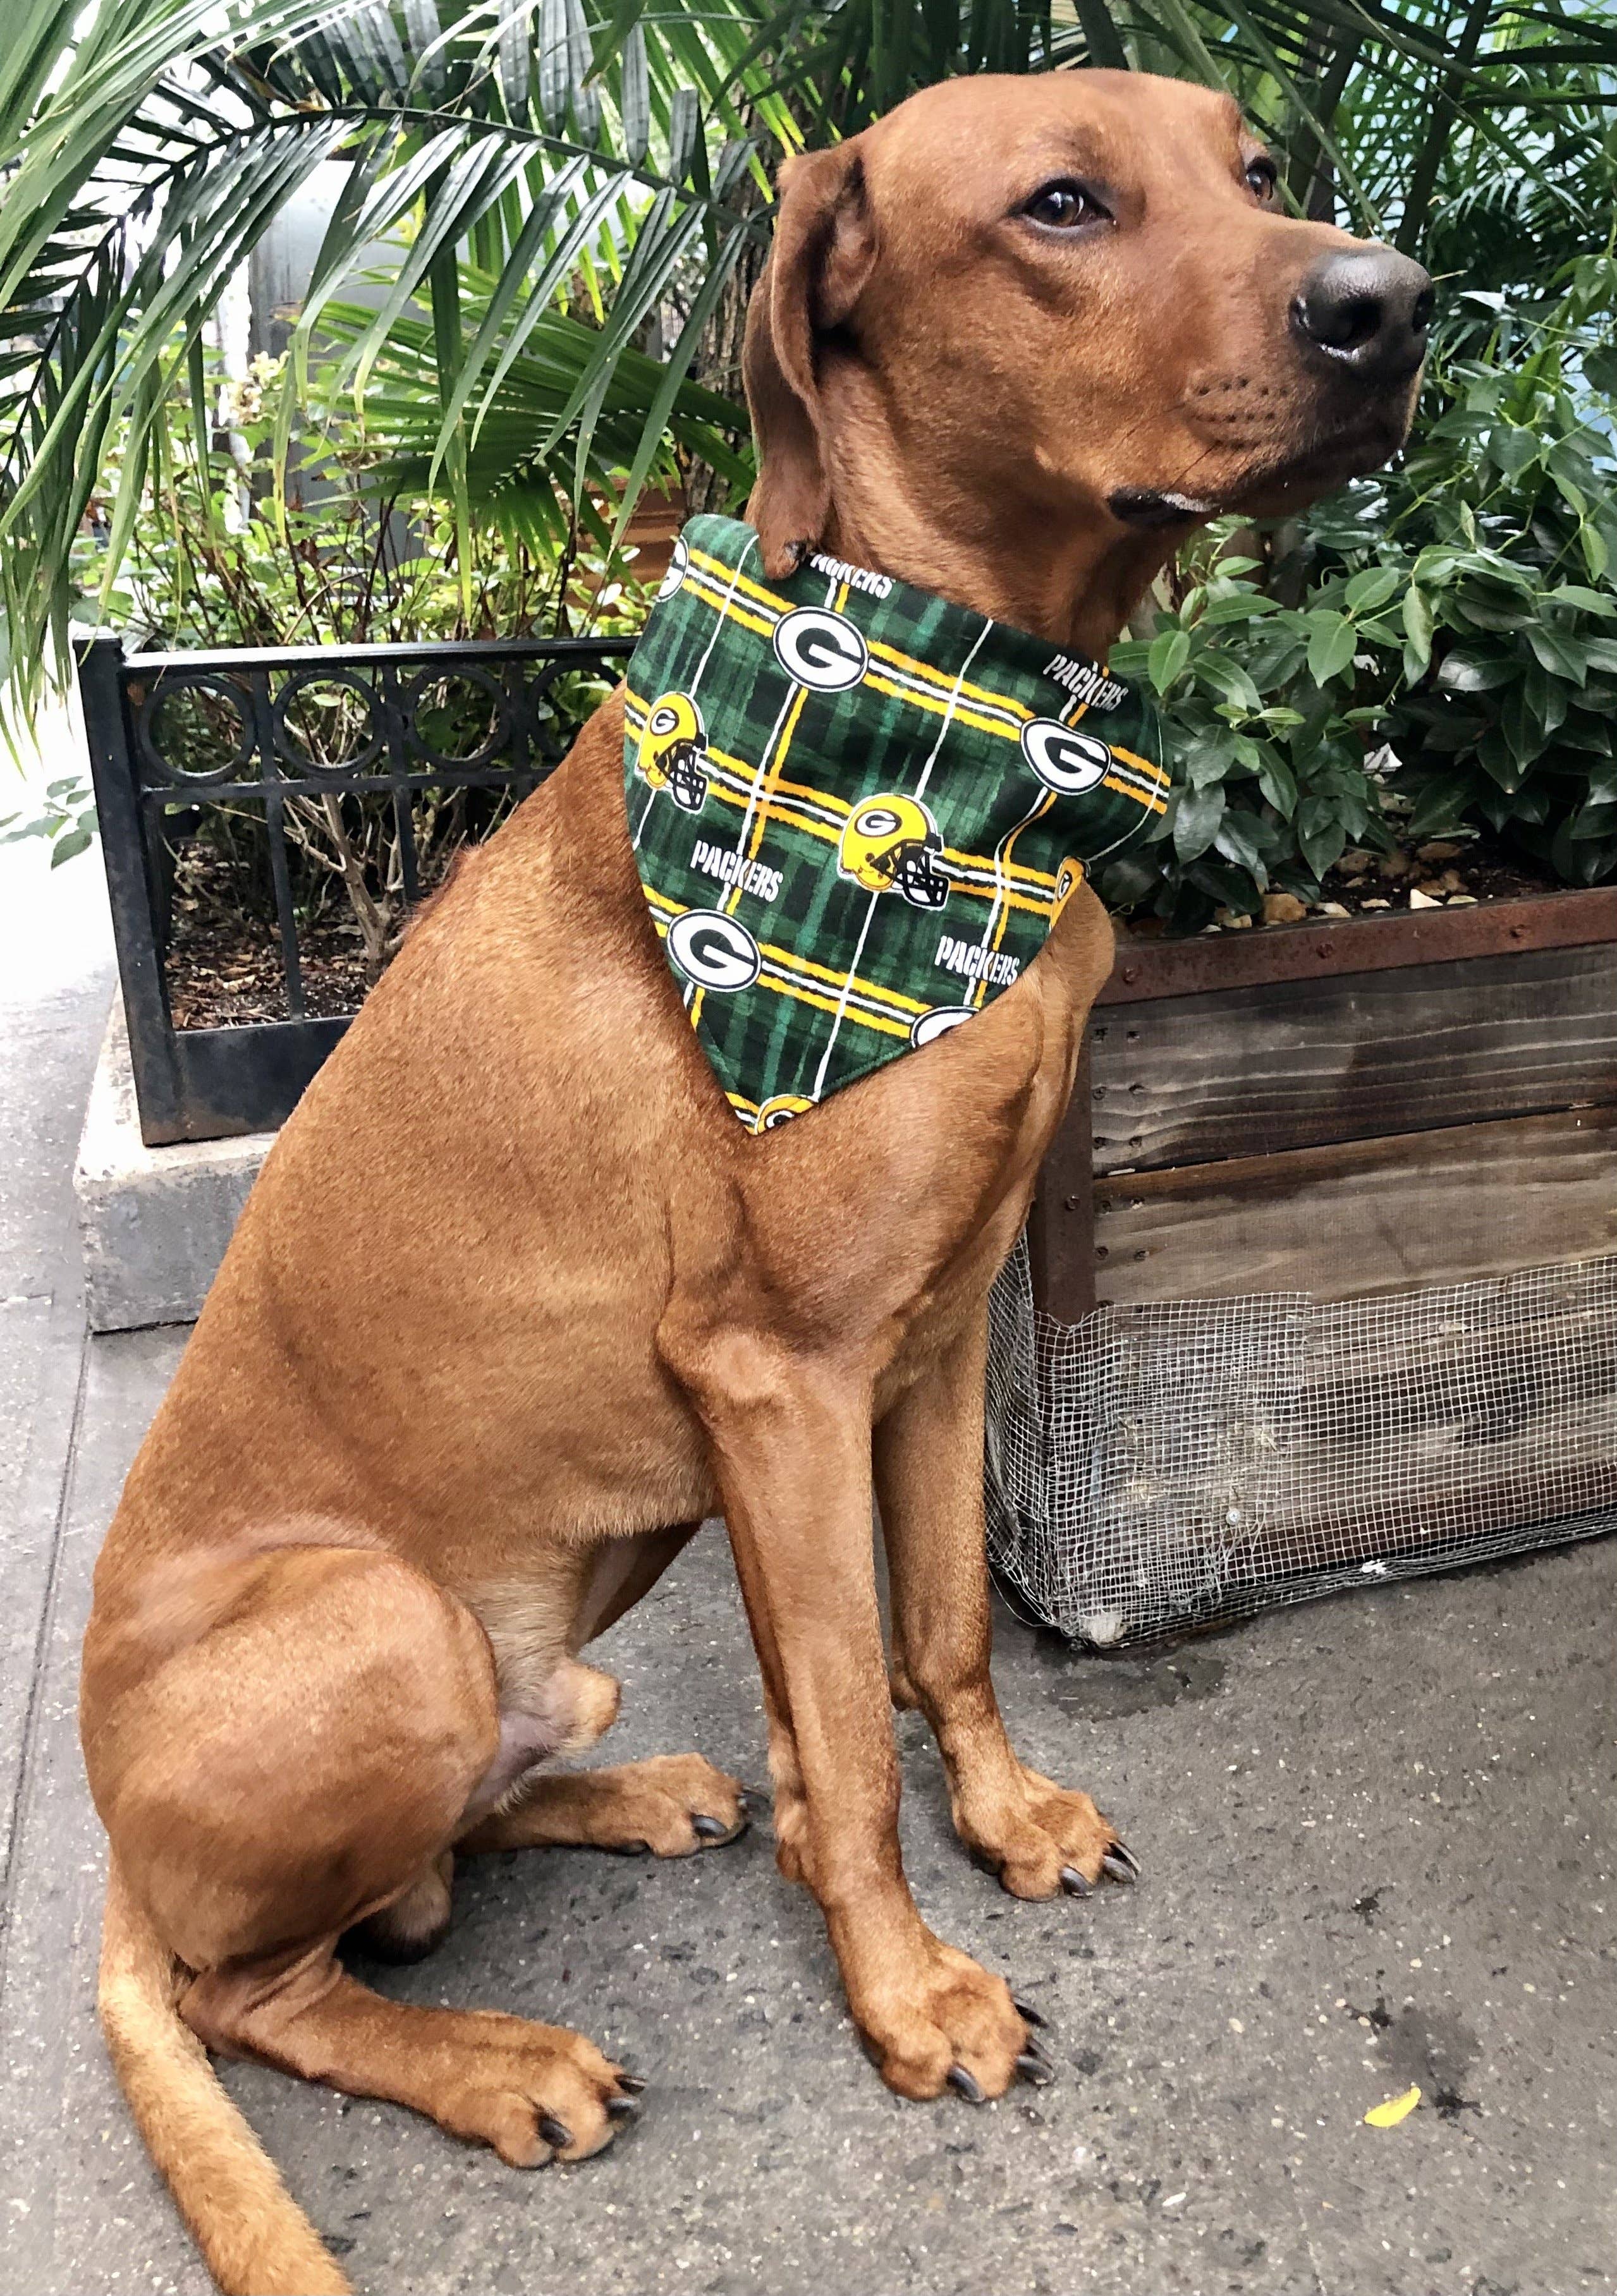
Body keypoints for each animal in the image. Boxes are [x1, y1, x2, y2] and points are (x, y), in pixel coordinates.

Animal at [82, 71, 1433, 2296]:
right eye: (1061, 206)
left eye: (1251, 172)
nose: (1391, 304)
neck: (950, 744)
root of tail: (113, 1851)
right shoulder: (776, 1380)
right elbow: (851, 1743)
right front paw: (906, 1991)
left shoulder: (943, 1336)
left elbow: (944, 1635)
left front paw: (1005, 1819)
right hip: (375, 1625)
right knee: (254, 1986)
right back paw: (495, 2061)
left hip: (550, 1647)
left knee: (447, 1840)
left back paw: (636, 1795)